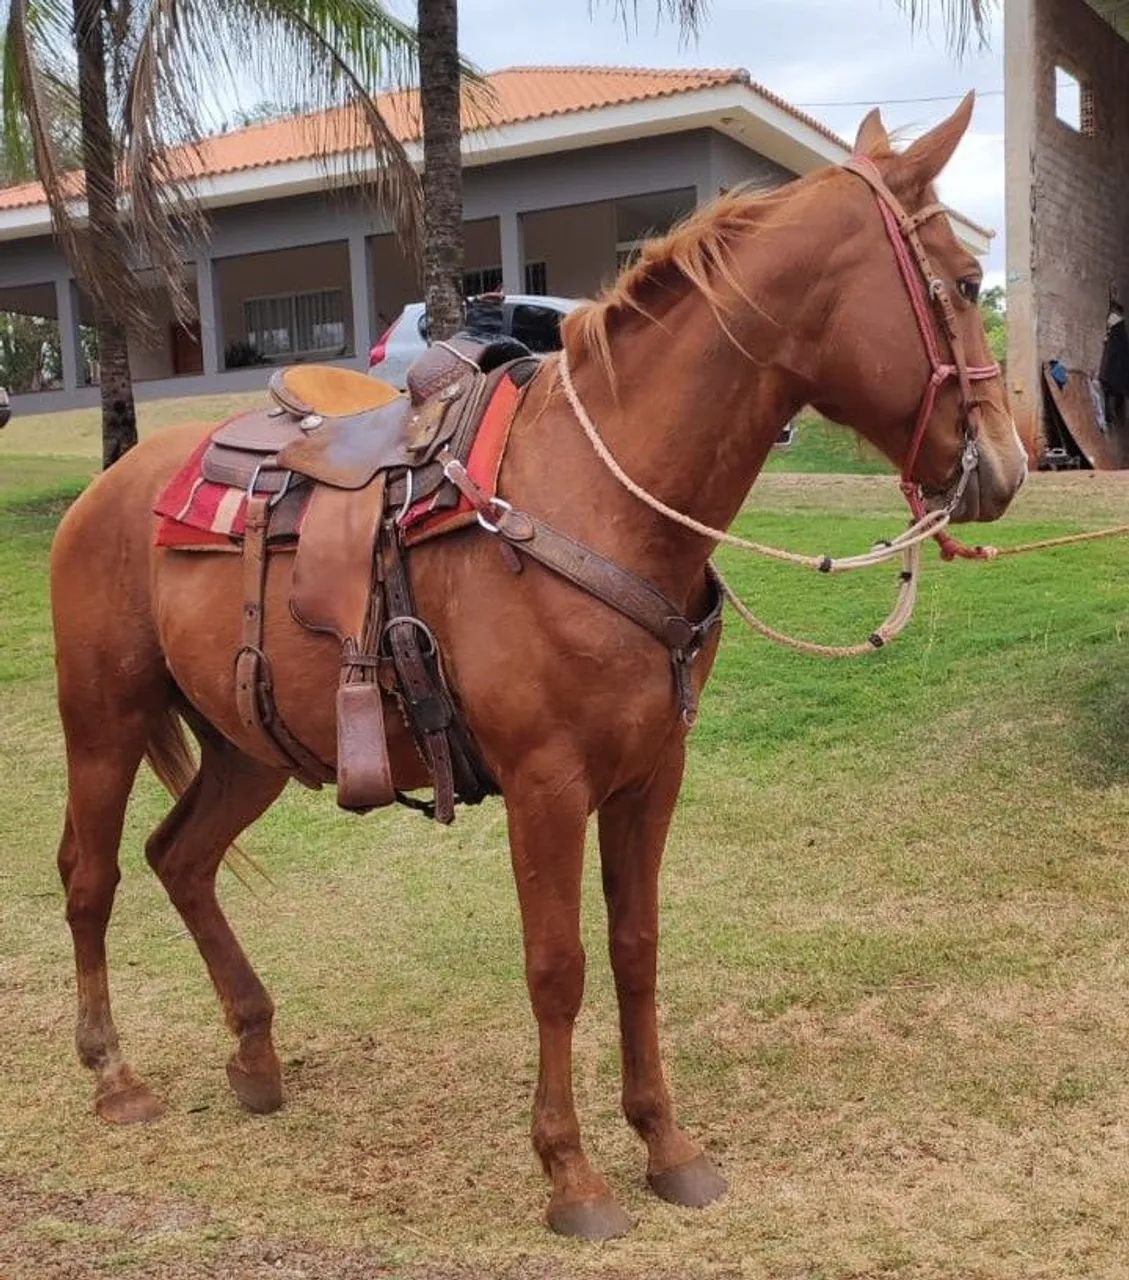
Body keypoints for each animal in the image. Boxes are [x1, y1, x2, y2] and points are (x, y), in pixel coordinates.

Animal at [48, 96, 1027, 1239]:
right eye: (959, 278)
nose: (1007, 465)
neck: (600, 497)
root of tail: (108, 488)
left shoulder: (651, 777)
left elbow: (636, 950)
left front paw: (667, 1144)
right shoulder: (546, 785)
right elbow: (557, 969)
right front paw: (571, 1173)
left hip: (252, 745)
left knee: (183, 860)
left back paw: (254, 1052)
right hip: (104, 719)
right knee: (92, 876)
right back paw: (114, 1075)